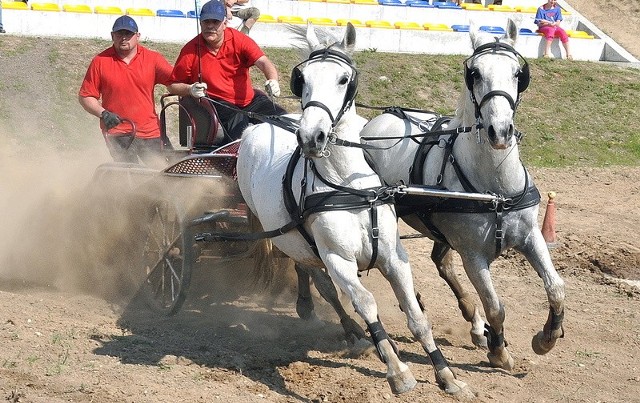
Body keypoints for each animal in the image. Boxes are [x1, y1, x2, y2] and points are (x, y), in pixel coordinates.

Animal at [238, 22, 472, 398]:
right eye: (302, 78)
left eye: (344, 78)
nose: (311, 137)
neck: (349, 185)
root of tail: (260, 124)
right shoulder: (338, 259)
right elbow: (365, 303)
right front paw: (397, 371)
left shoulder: (394, 256)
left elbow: (417, 316)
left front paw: (447, 375)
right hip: (296, 242)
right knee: (325, 287)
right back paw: (350, 330)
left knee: (313, 276)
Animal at [358, 19, 568, 372]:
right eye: (475, 73)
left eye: (518, 73)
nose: (500, 131)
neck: (495, 189)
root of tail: (375, 122)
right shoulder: (473, 255)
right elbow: (496, 305)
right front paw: (498, 351)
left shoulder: (530, 236)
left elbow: (556, 288)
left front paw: (546, 338)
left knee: (442, 263)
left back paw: (473, 322)